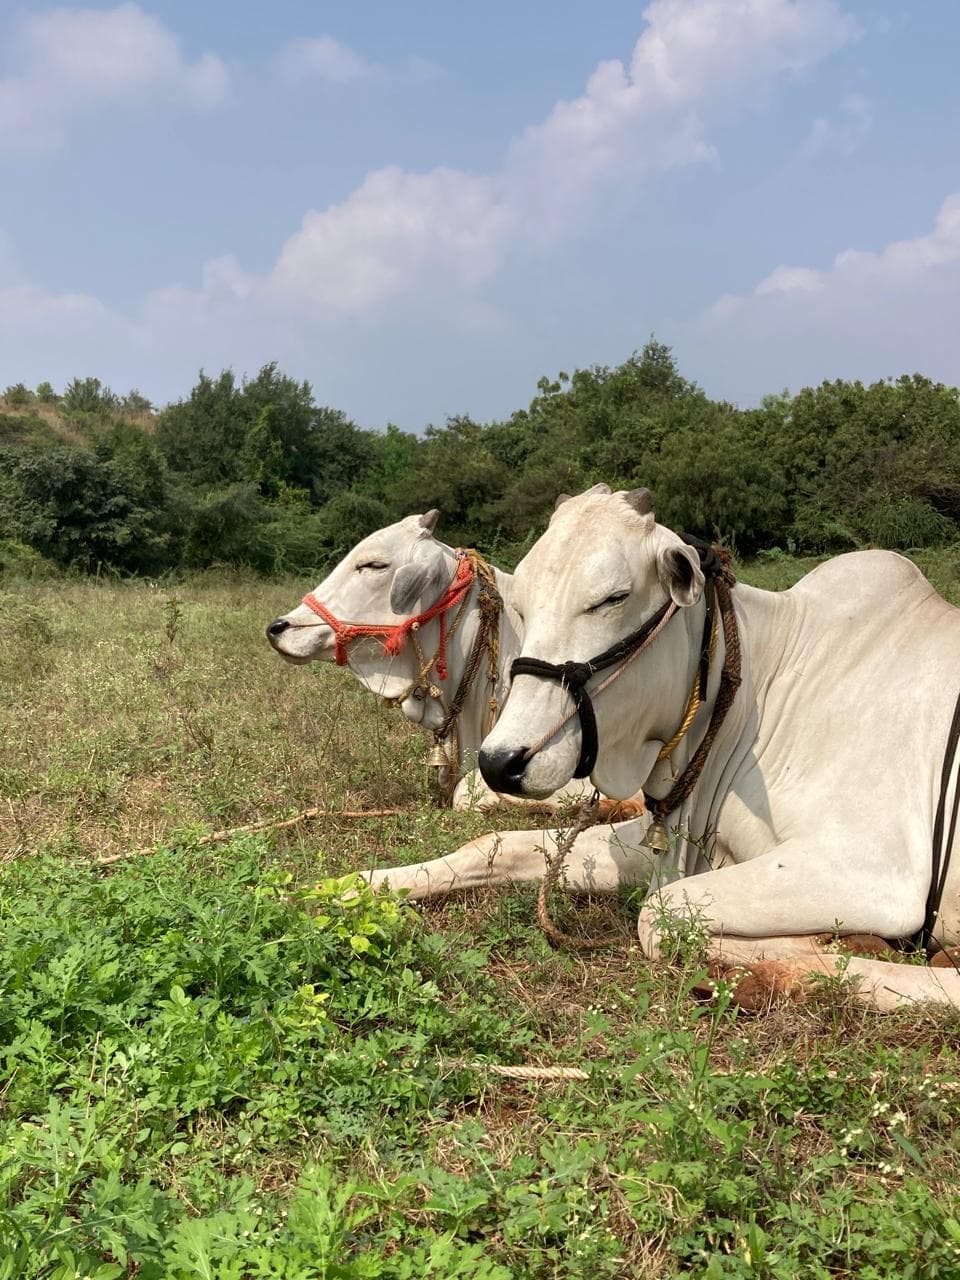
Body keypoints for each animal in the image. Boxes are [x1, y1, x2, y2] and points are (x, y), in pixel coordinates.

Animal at [346, 486, 960, 1012]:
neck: (761, 694)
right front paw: (357, 886)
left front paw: (837, 946)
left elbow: (659, 918)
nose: (502, 762)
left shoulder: (872, 871)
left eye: (613, 598)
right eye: (521, 604)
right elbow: (492, 845)